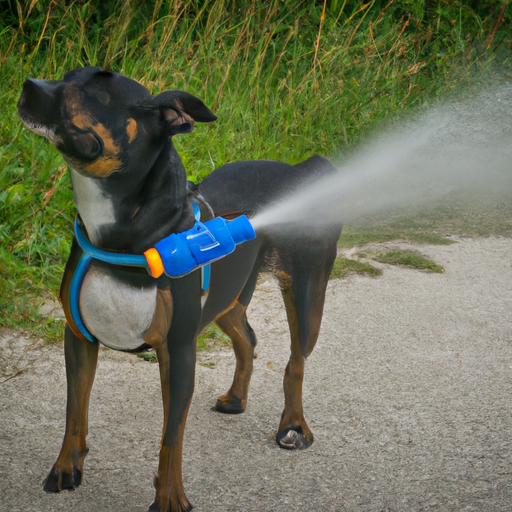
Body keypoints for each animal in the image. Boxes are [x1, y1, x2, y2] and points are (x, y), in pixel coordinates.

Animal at [18, 68, 342, 512]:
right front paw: (66, 470)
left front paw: (171, 499)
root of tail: (301, 170)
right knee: (248, 337)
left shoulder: (178, 351)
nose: (26, 85)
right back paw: (236, 399)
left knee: (296, 360)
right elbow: (74, 414)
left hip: (307, 292)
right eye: (68, 76)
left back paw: (293, 426)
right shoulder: (79, 338)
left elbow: (171, 437)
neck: (126, 238)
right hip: (227, 298)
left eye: (99, 89)